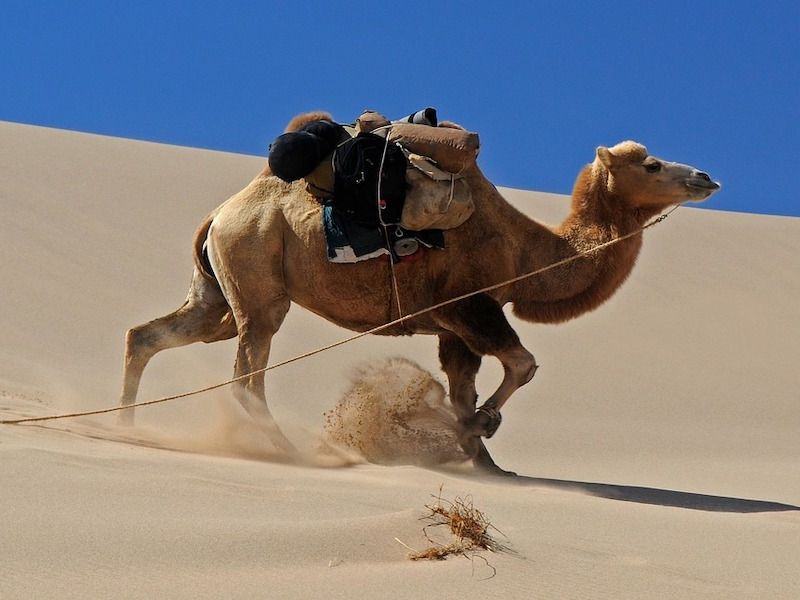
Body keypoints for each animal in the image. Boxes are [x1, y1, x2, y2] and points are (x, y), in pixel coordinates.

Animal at [119, 112, 720, 474]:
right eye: (651, 164)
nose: (706, 177)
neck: (528, 252)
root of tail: (220, 214)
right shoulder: (470, 305)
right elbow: (521, 365)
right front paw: (478, 428)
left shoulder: (454, 328)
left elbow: (464, 386)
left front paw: (487, 462)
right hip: (257, 274)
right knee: (248, 371)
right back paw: (291, 450)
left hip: (217, 293)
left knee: (151, 335)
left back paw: (125, 428)